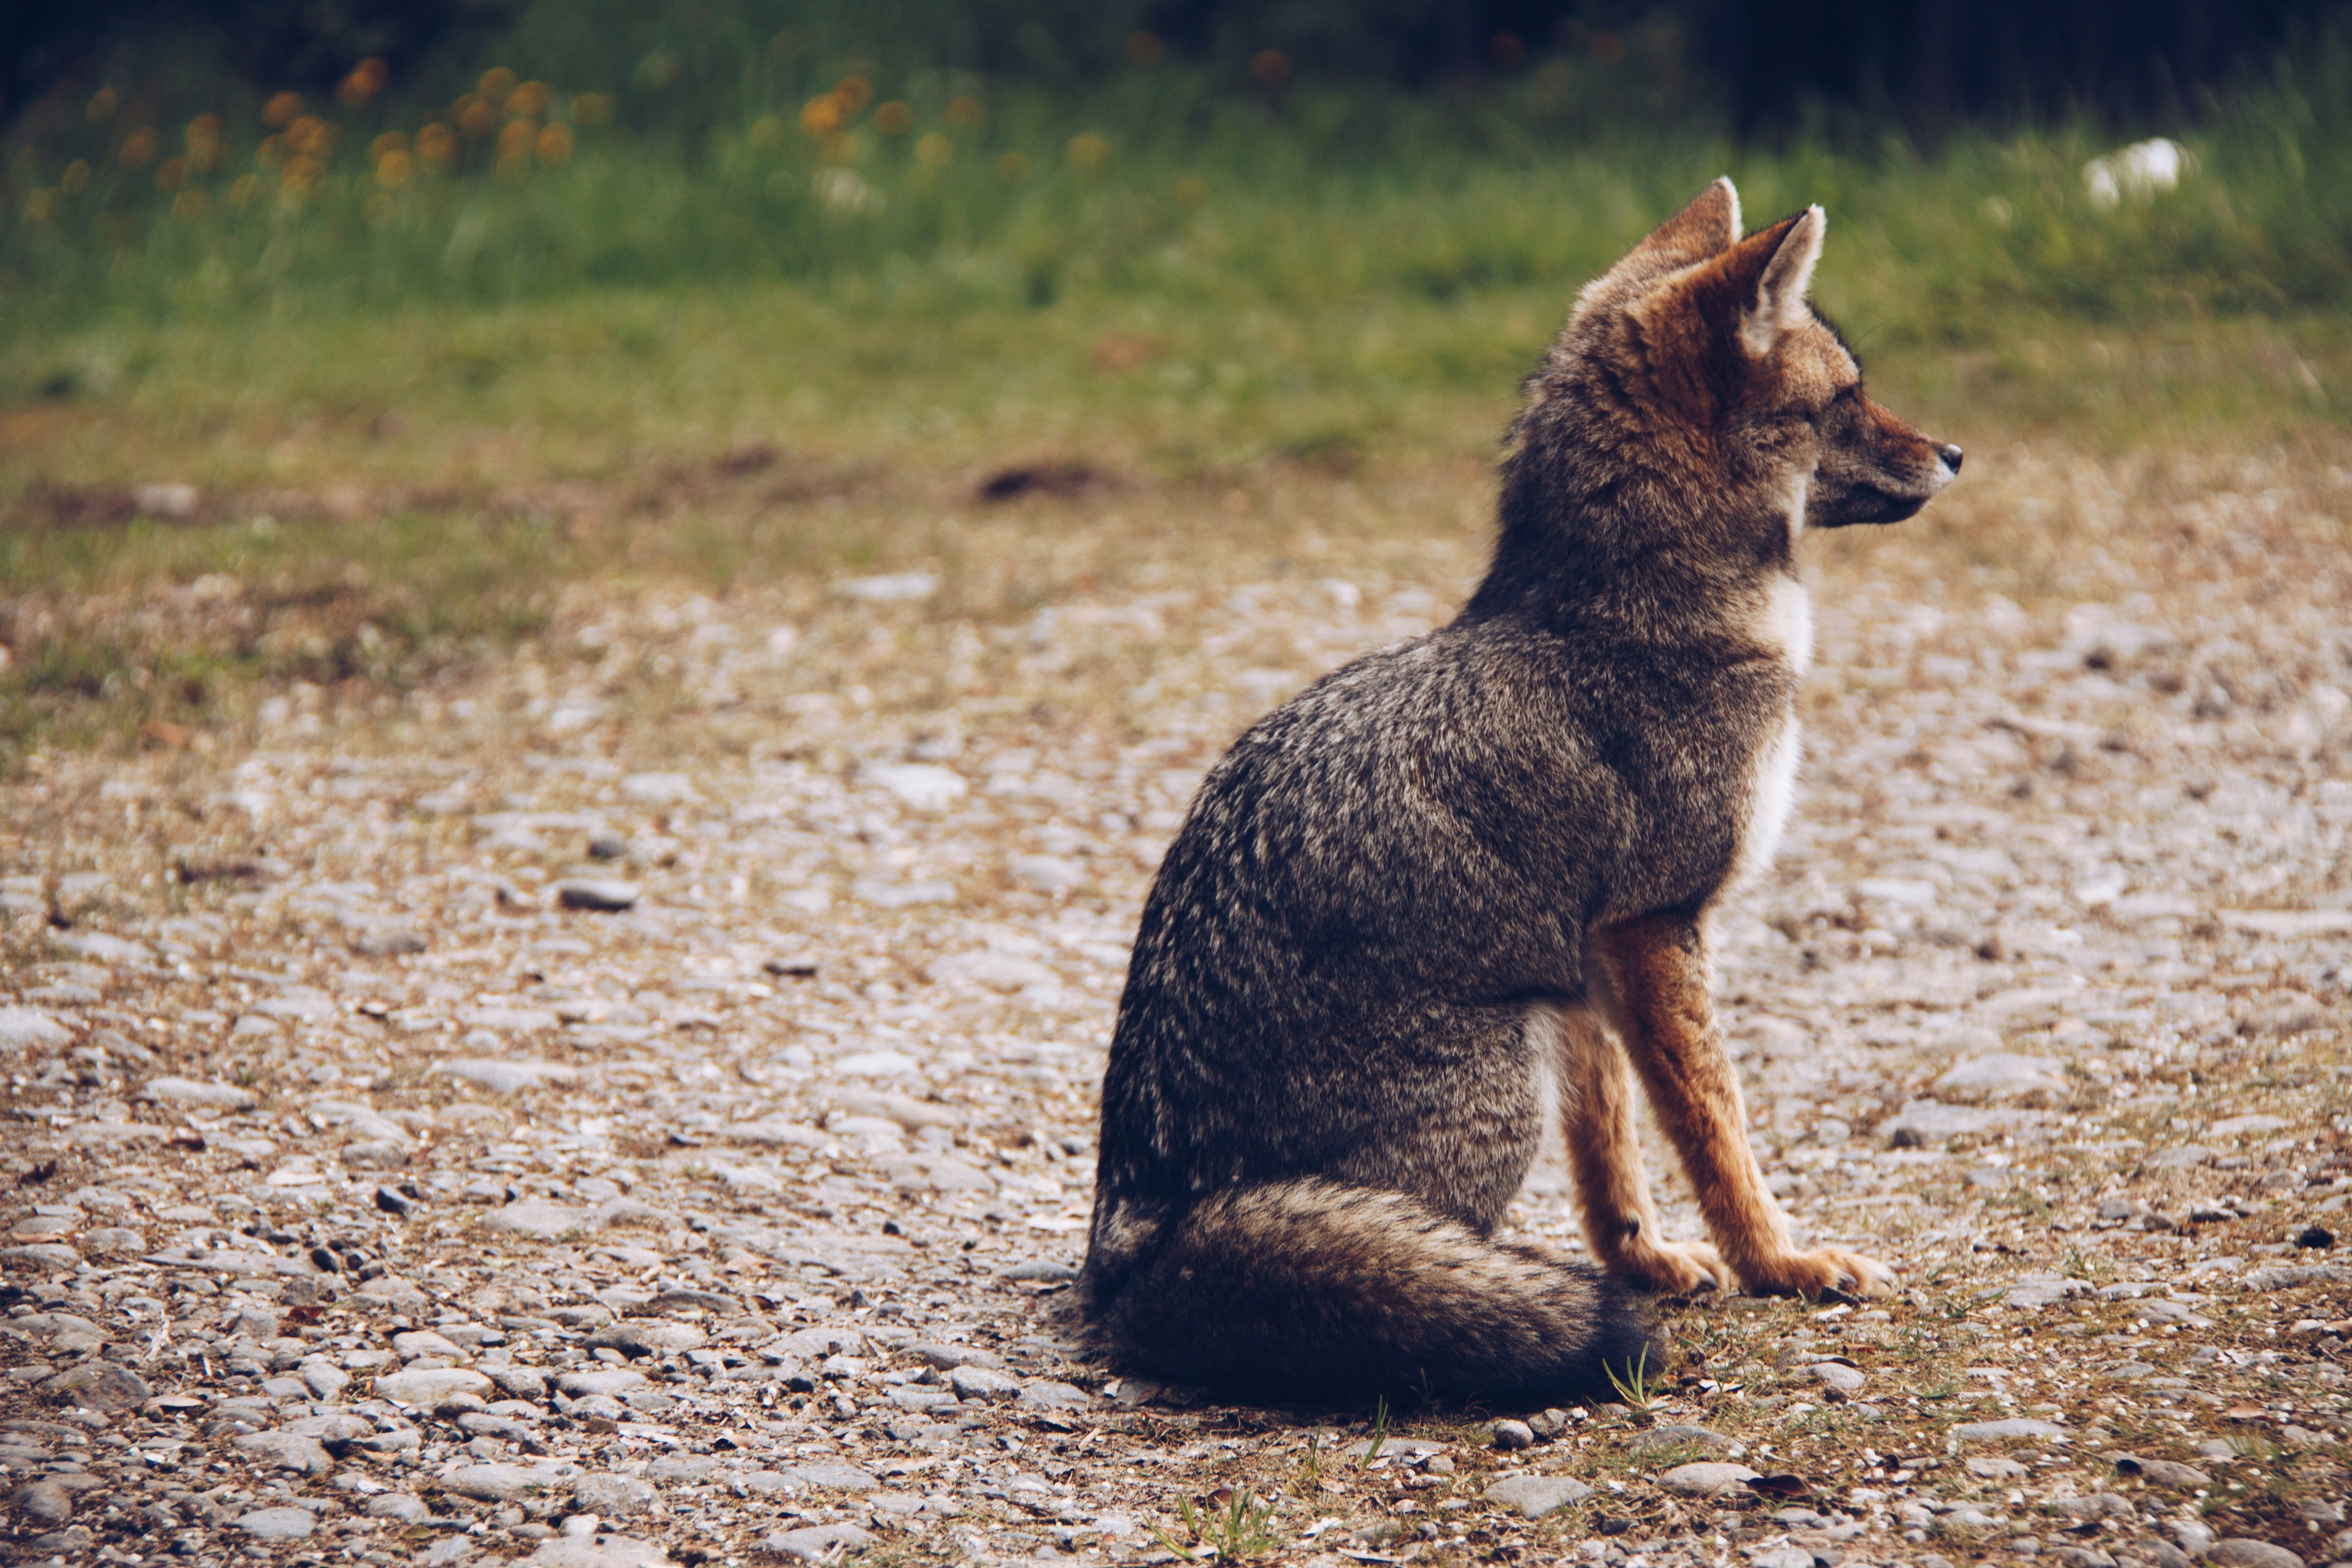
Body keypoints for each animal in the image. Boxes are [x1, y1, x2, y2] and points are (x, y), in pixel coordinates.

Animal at [1078, 179, 1963, 1405]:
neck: (1624, 618)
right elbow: (1717, 1129)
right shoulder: (1654, 926)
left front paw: (1645, 1260)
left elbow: (1614, 1147)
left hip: (1528, 1040)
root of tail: (1143, 1241)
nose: (1957, 452)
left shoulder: (1587, 963)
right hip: (1504, 1082)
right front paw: (1779, 1263)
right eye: (1847, 398)